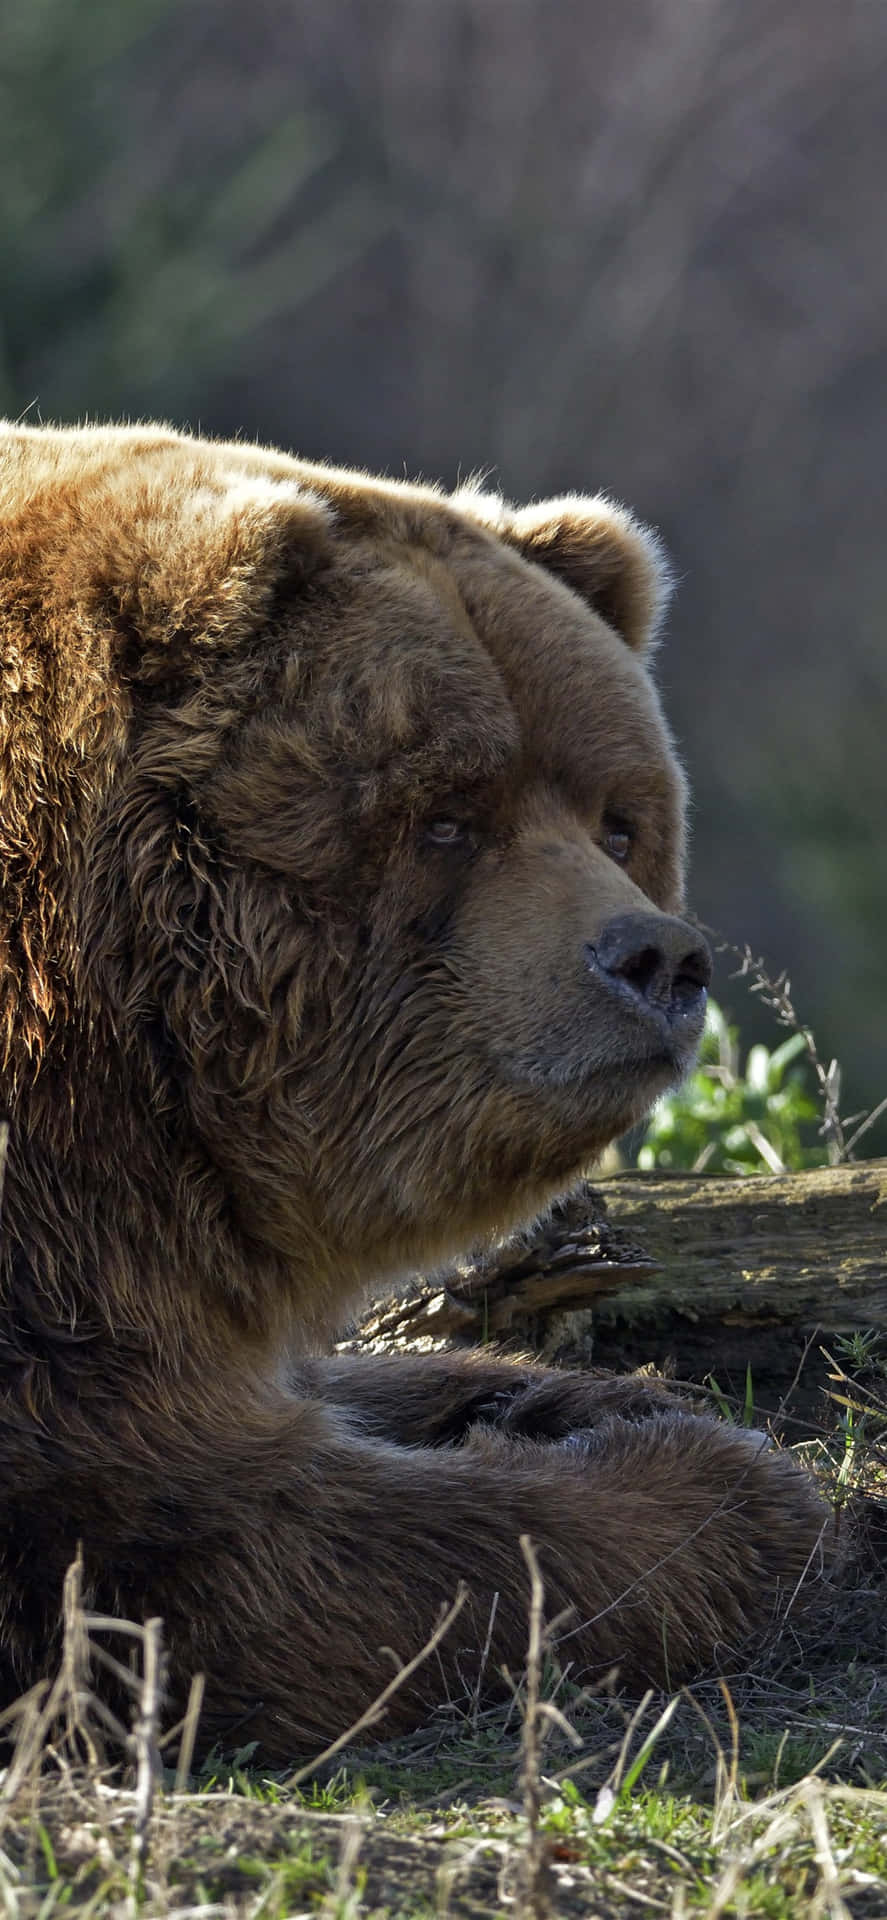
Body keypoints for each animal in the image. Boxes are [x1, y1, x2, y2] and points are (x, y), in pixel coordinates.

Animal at [0, 422, 826, 1762]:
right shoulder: (50, 1286)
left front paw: (563, 1394)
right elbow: (213, 1544)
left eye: (616, 820)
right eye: (445, 814)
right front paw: (715, 1483)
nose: (655, 958)